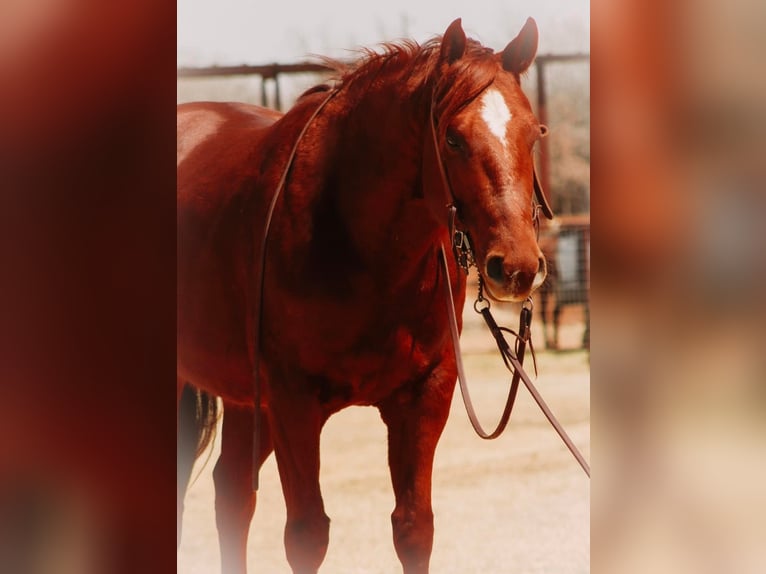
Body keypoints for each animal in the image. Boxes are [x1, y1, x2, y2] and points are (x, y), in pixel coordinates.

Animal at [178, 18, 552, 574]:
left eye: (533, 133)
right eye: (453, 138)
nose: (517, 268)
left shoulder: (423, 397)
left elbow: (414, 528)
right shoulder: (293, 402)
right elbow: (307, 535)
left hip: (246, 398)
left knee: (233, 495)